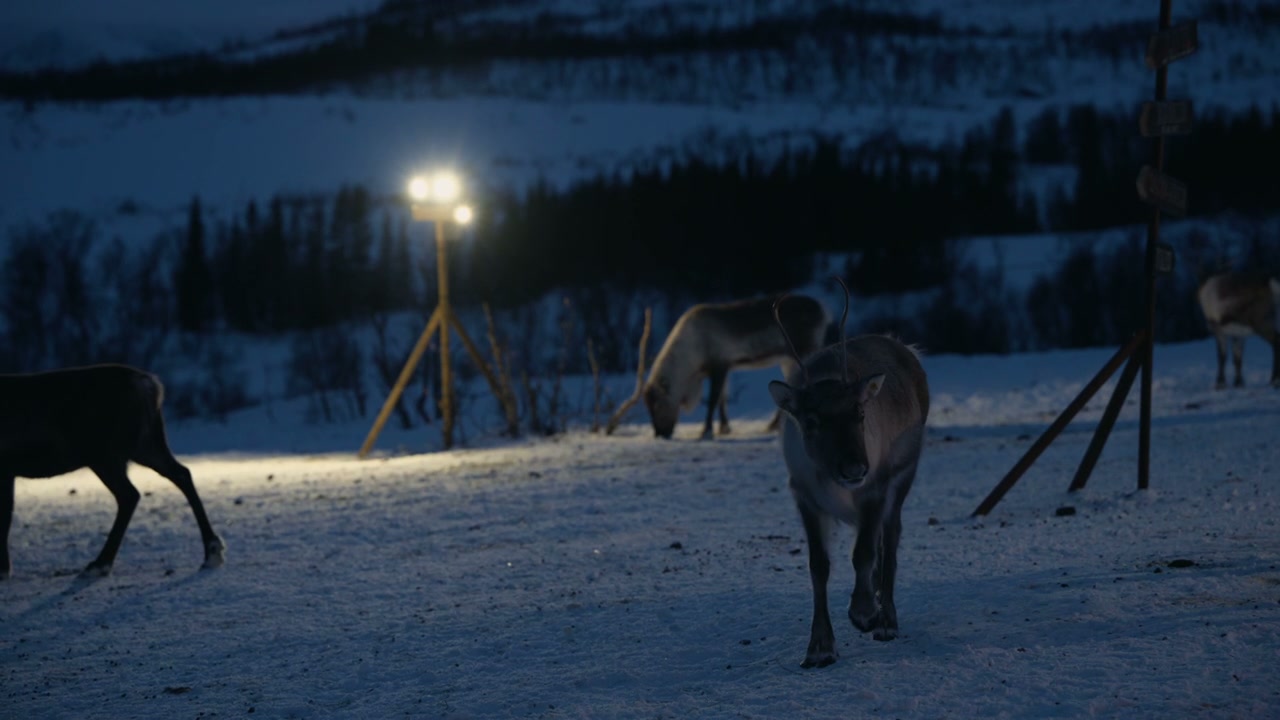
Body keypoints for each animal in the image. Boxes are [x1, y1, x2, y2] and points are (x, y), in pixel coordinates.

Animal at [1, 364, 225, 579]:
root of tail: (149, 385)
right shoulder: (9, 472)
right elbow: (7, 513)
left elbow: (5, 515)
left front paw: (3, 570)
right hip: (146, 444)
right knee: (182, 473)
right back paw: (212, 551)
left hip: (104, 454)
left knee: (130, 494)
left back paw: (100, 564)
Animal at [635, 294, 829, 440]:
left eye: (657, 405)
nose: (660, 434)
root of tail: (824, 310)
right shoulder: (726, 367)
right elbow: (723, 398)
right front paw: (724, 428)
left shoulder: (719, 365)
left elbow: (713, 399)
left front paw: (706, 432)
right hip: (788, 359)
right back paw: (773, 425)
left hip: (804, 352)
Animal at [766, 281, 929, 668]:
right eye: (811, 420)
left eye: (859, 412)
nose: (855, 467)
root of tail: (906, 349)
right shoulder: (804, 496)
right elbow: (818, 566)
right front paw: (820, 646)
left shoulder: (876, 487)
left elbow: (864, 552)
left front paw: (865, 612)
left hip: (904, 477)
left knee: (890, 540)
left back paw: (886, 620)